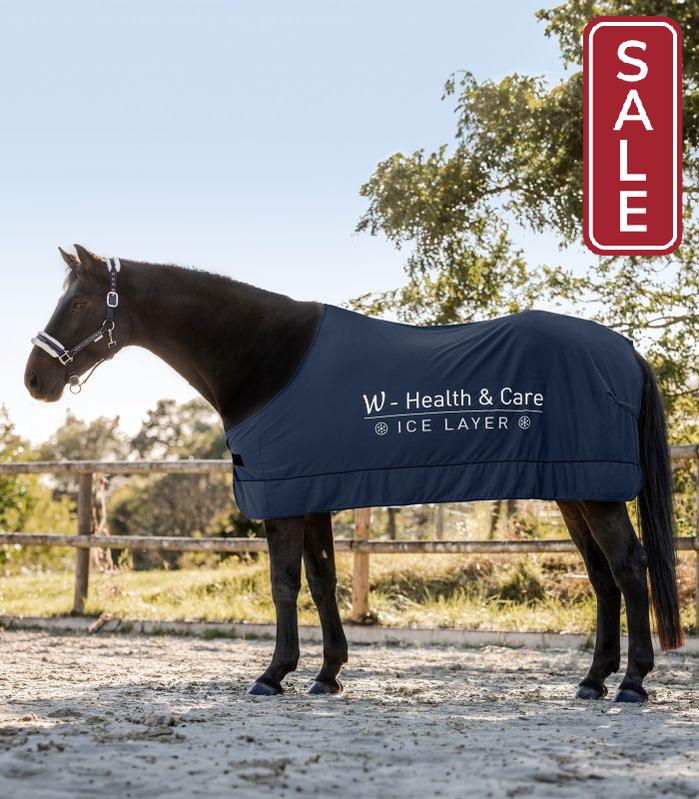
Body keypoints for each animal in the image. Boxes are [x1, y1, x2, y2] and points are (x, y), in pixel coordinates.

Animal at [24, 245, 684, 702]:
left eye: (78, 302)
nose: (35, 379)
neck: (267, 358)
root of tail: (626, 350)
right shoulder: (312, 494)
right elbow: (322, 581)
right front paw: (327, 673)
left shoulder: (285, 499)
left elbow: (284, 584)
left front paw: (273, 674)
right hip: (577, 491)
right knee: (602, 578)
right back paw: (593, 681)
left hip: (596, 494)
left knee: (629, 568)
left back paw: (632, 683)